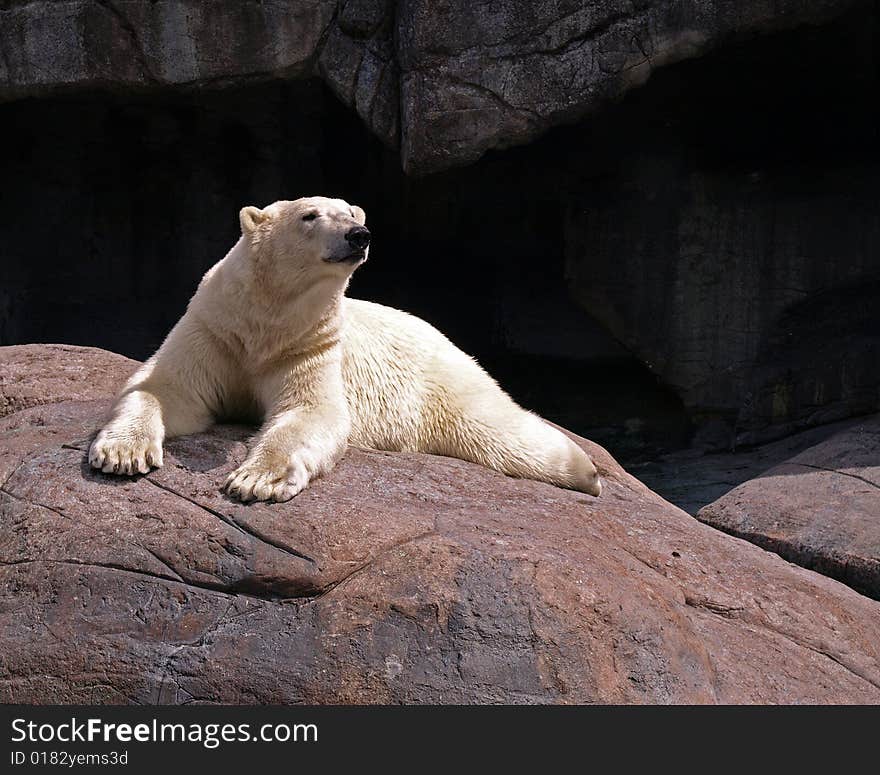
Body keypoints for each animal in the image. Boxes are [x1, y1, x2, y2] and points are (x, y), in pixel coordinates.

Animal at [89, 199, 600, 504]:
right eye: (309, 215)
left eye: (353, 213)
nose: (360, 234)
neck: (265, 325)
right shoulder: (214, 329)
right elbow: (166, 388)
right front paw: (122, 454)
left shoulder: (310, 344)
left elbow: (310, 411)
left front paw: (257, 480)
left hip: (441, 384)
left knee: (497, 431)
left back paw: (587, 471)